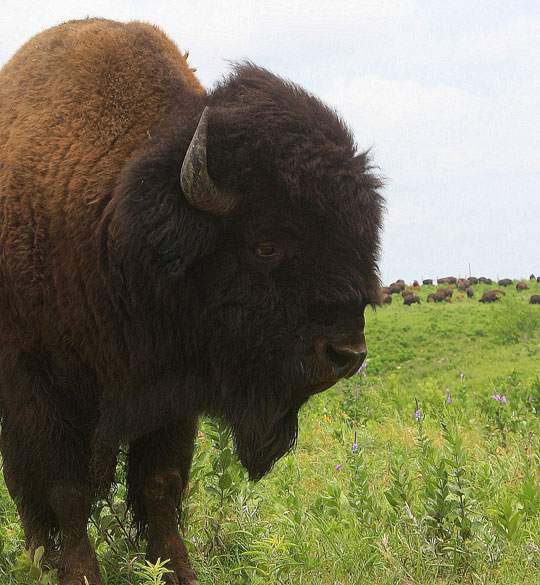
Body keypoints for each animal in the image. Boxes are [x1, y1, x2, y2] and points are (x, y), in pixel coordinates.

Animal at [0, 17, 384, 584]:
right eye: (266, 245)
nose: (347, 355)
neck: (119, 224)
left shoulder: (174, 393)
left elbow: (159, 484)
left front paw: (177, 571)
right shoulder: (36, 383)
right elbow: (62, 489)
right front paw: (79, 572)